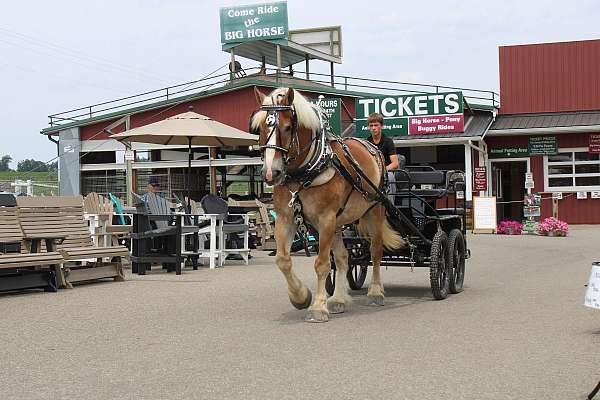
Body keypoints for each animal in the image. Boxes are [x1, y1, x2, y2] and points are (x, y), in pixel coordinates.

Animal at [251, 86, 406, 322]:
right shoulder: (286, 218)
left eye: (287, 127)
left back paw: (375, 292)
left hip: (374, 211)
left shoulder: (325, 220)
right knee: (343, 258)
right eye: (260, 127)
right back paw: (339, 299)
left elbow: (322, 264)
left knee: (376, 250)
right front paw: (301, 297)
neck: (305, 172)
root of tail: (374, 148)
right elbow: (283, 260)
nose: (271, 173)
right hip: (338, 223)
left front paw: (318, 307)